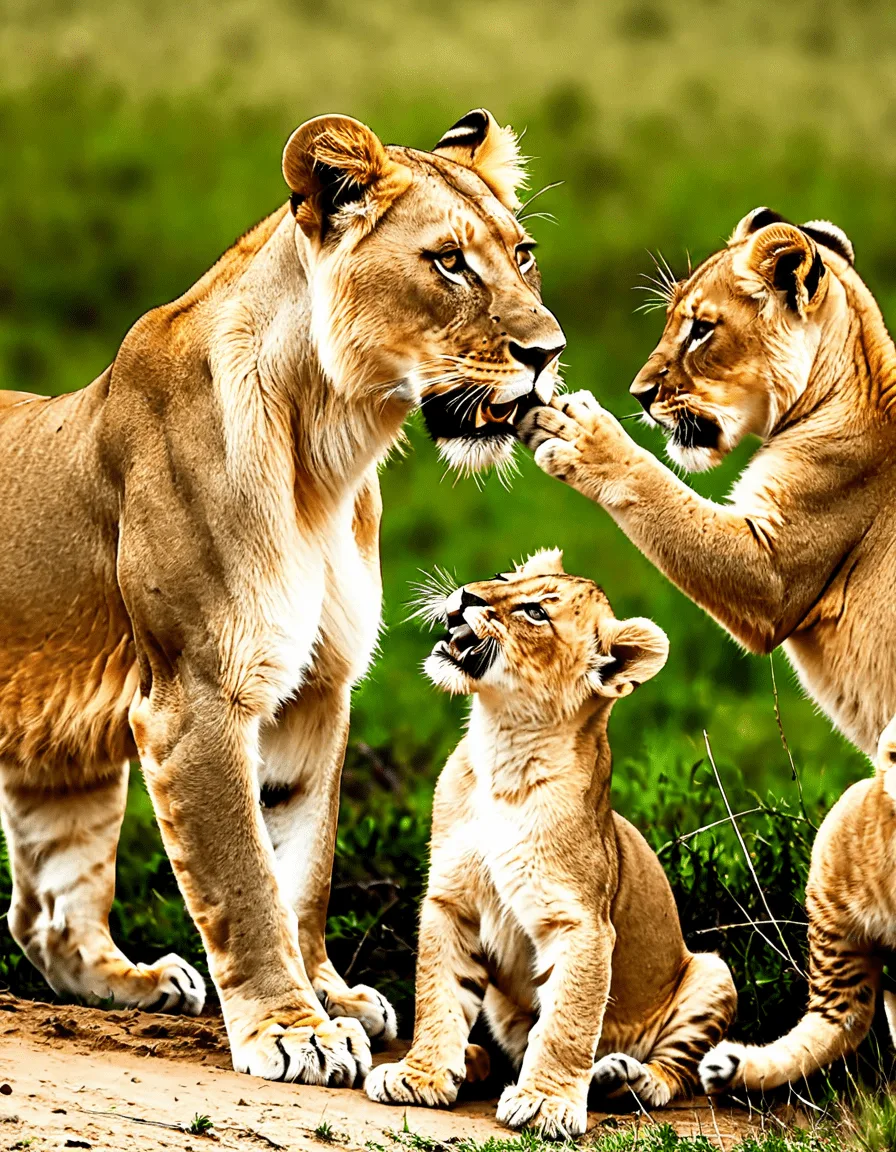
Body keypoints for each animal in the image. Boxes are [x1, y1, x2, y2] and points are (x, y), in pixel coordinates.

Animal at [0, 109, 564, 1086]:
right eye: (449, 262)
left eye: (522, 255)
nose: (550, 353)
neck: (330, 450)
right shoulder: (196, 695)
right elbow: (245, 878)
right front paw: (294, 1028)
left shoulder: (316, 687)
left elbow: (303, 866)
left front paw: (331, 999)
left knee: (46, 916)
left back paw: (140, 981)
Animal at [365, 551, 736, 1139]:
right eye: (502, 577)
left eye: (536, 612)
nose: (467, 595)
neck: (503, 748)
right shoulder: (451, 900)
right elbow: (437, 993)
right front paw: (420, 1075)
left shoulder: (581, 923)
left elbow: (567, 1021)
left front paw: (545, 1103)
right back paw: (474, 1062)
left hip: (712, 973)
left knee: (677, 1071)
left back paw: (624, 1077)